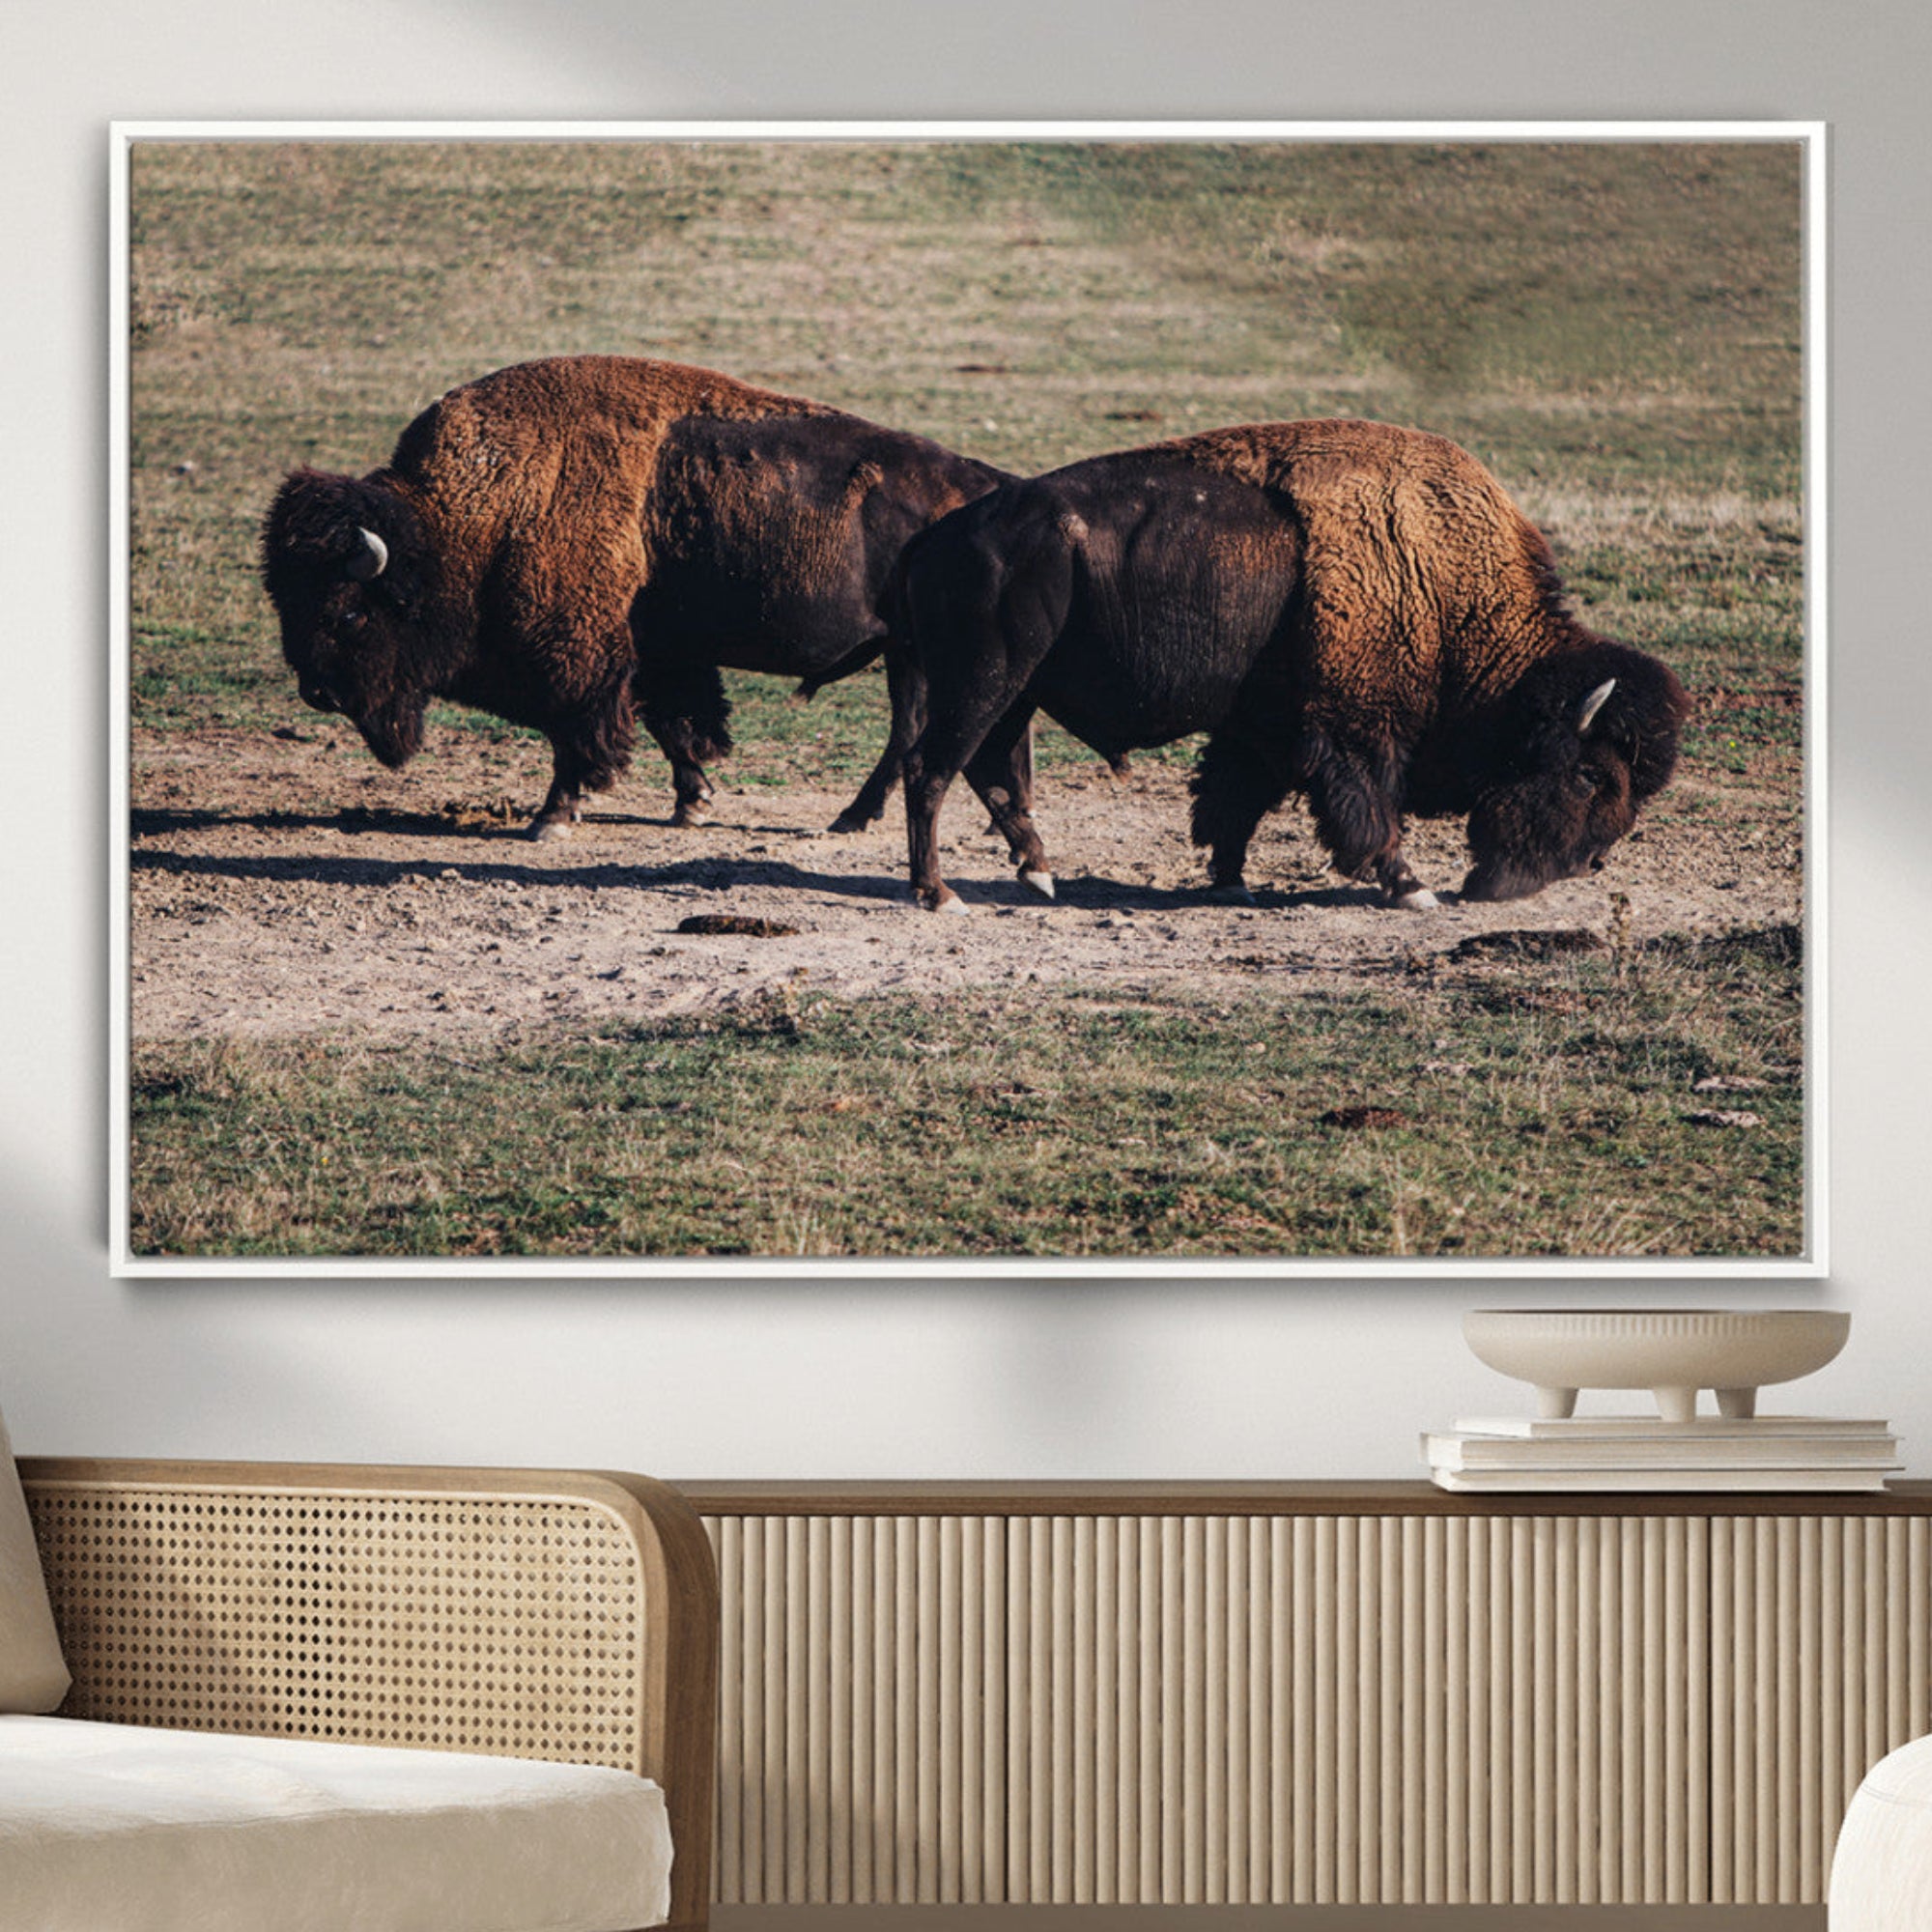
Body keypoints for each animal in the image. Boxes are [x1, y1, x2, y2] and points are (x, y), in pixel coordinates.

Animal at [260, 355, 1008, 838]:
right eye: (285, 602)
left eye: (350, 611)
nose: (318, 692)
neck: (473, 517)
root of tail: (988, 486)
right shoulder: (655, 653)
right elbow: (674, 725)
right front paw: (692, 804)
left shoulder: (578, 661)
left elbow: (579, 735)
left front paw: (551, 819)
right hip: (905, 654)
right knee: (908, 730)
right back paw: (852, 817)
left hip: (914, 654)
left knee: (908, 731)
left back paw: (851, 819)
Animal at [894, 419, 1691, 912]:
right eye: (1590, 775)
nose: (1586, 864)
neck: (1443, 588)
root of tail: (939, 536)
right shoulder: (1352, 732)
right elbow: (1368, 812)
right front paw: (1412, 887)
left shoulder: (1264, 730)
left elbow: (1232, 801)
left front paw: (1230, 883)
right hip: (984, 682)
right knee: (931, 770)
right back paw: (940, 895)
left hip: (1016, 692)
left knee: (989, 771)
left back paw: (1038, 873)